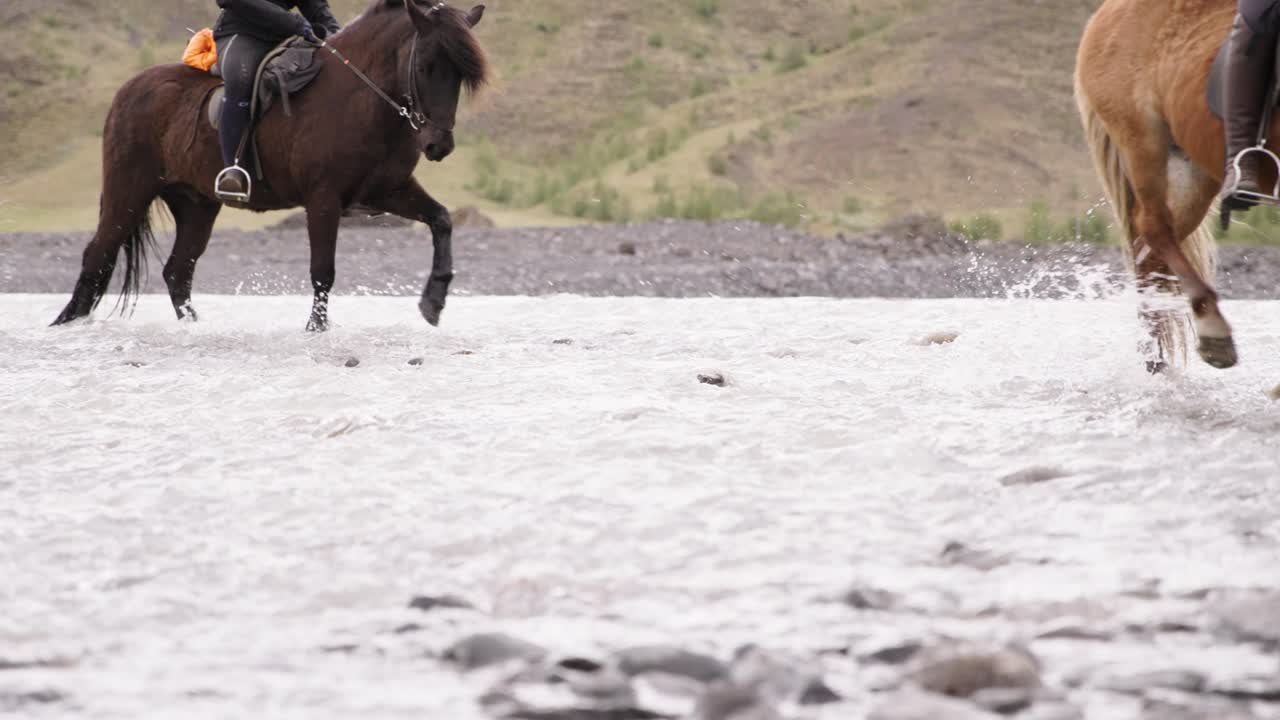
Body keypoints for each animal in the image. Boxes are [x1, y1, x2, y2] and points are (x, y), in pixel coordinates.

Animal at [51, 0, 489, 332]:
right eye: (426, 65)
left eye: (461, 75)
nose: (437, 144)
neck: (358, 98)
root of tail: (129, 89)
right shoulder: (323, 199)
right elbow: (323, 270)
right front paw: (316, 329)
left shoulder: (389, 190)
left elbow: (442, 219)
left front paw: (433, 301)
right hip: (128, 192)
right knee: (98, 255)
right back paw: (66, 324)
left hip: (196, 205)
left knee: (177, 271)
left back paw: (194, 327)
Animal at [1074, 0, 1251, 371]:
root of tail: (1101, 16)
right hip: (1143, 141)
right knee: (1153, 228)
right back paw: (1211, 331)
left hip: (1192, 167)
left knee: (1150, 252)